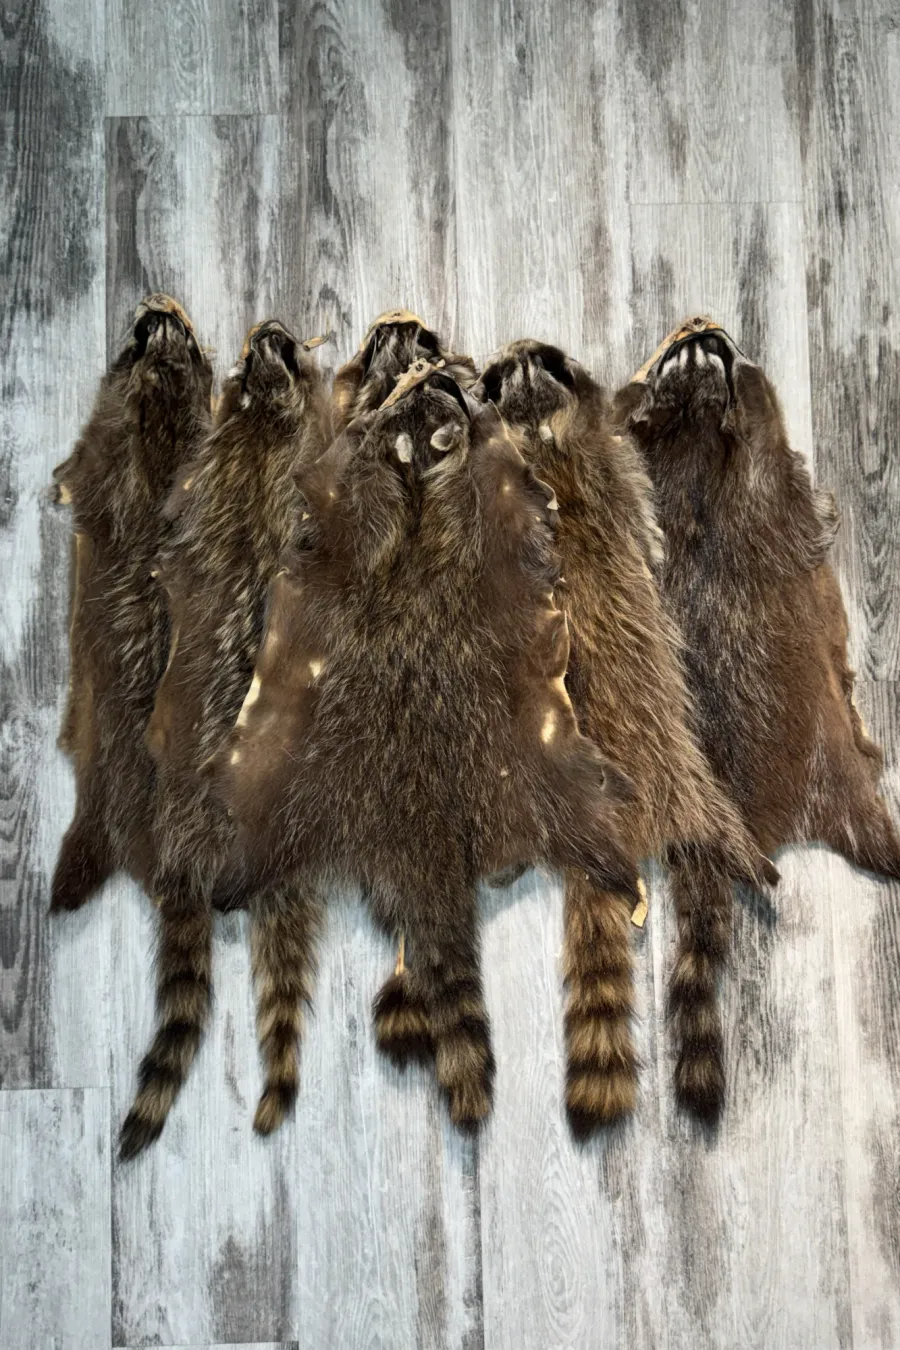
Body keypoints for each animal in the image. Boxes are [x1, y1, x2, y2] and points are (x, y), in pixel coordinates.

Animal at [210, 364, 638, 1131]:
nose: (435, 378)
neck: (417, 491)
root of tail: (423, 838)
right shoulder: (385, 502)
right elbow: (348, 468)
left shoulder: (482, 505)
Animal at [472, 340, 771, 1128]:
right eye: (507, 368)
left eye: (528, 361)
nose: (513, 351)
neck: (539, 423)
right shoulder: (612, 468)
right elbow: (644, 523)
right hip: (684, 770)